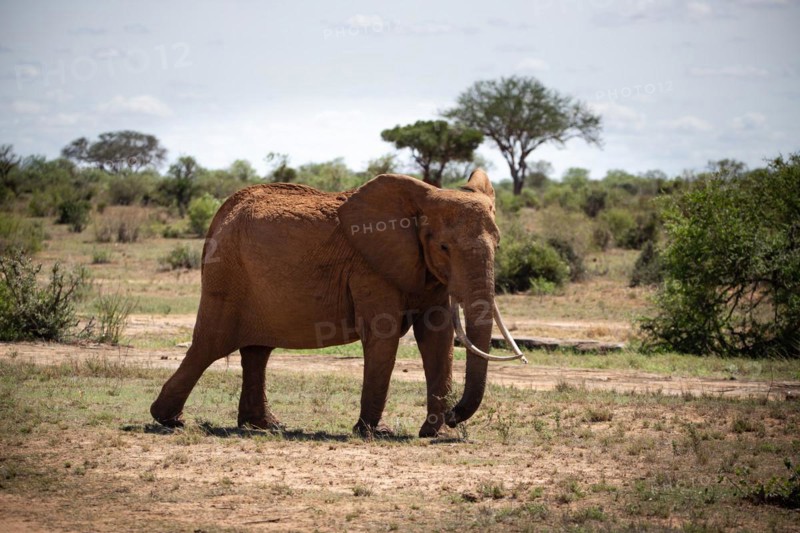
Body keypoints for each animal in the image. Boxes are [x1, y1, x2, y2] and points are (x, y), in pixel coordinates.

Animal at [150, 169, 525, 438]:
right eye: (445, 247)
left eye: (499, 244)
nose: (454, 415)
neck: (418, 203)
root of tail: (220, 214)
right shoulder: (369, 268)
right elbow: (383, 335)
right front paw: (376, 432)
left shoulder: (422, 268)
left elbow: (437, 337)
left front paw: (435, 434)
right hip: (227, 273)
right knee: (209, 346)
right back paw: (170, 421)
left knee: (257, 351)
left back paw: (266, 426)